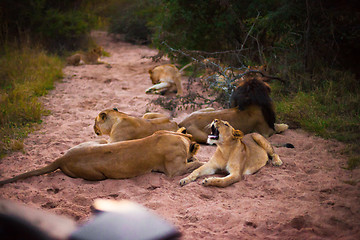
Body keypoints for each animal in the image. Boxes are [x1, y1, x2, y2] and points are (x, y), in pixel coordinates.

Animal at [0, 128, 202, 185]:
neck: (180, 137)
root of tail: (62, 158)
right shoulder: (174, 170)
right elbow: (198, 163)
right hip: (98, 175)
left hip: (102, 141)